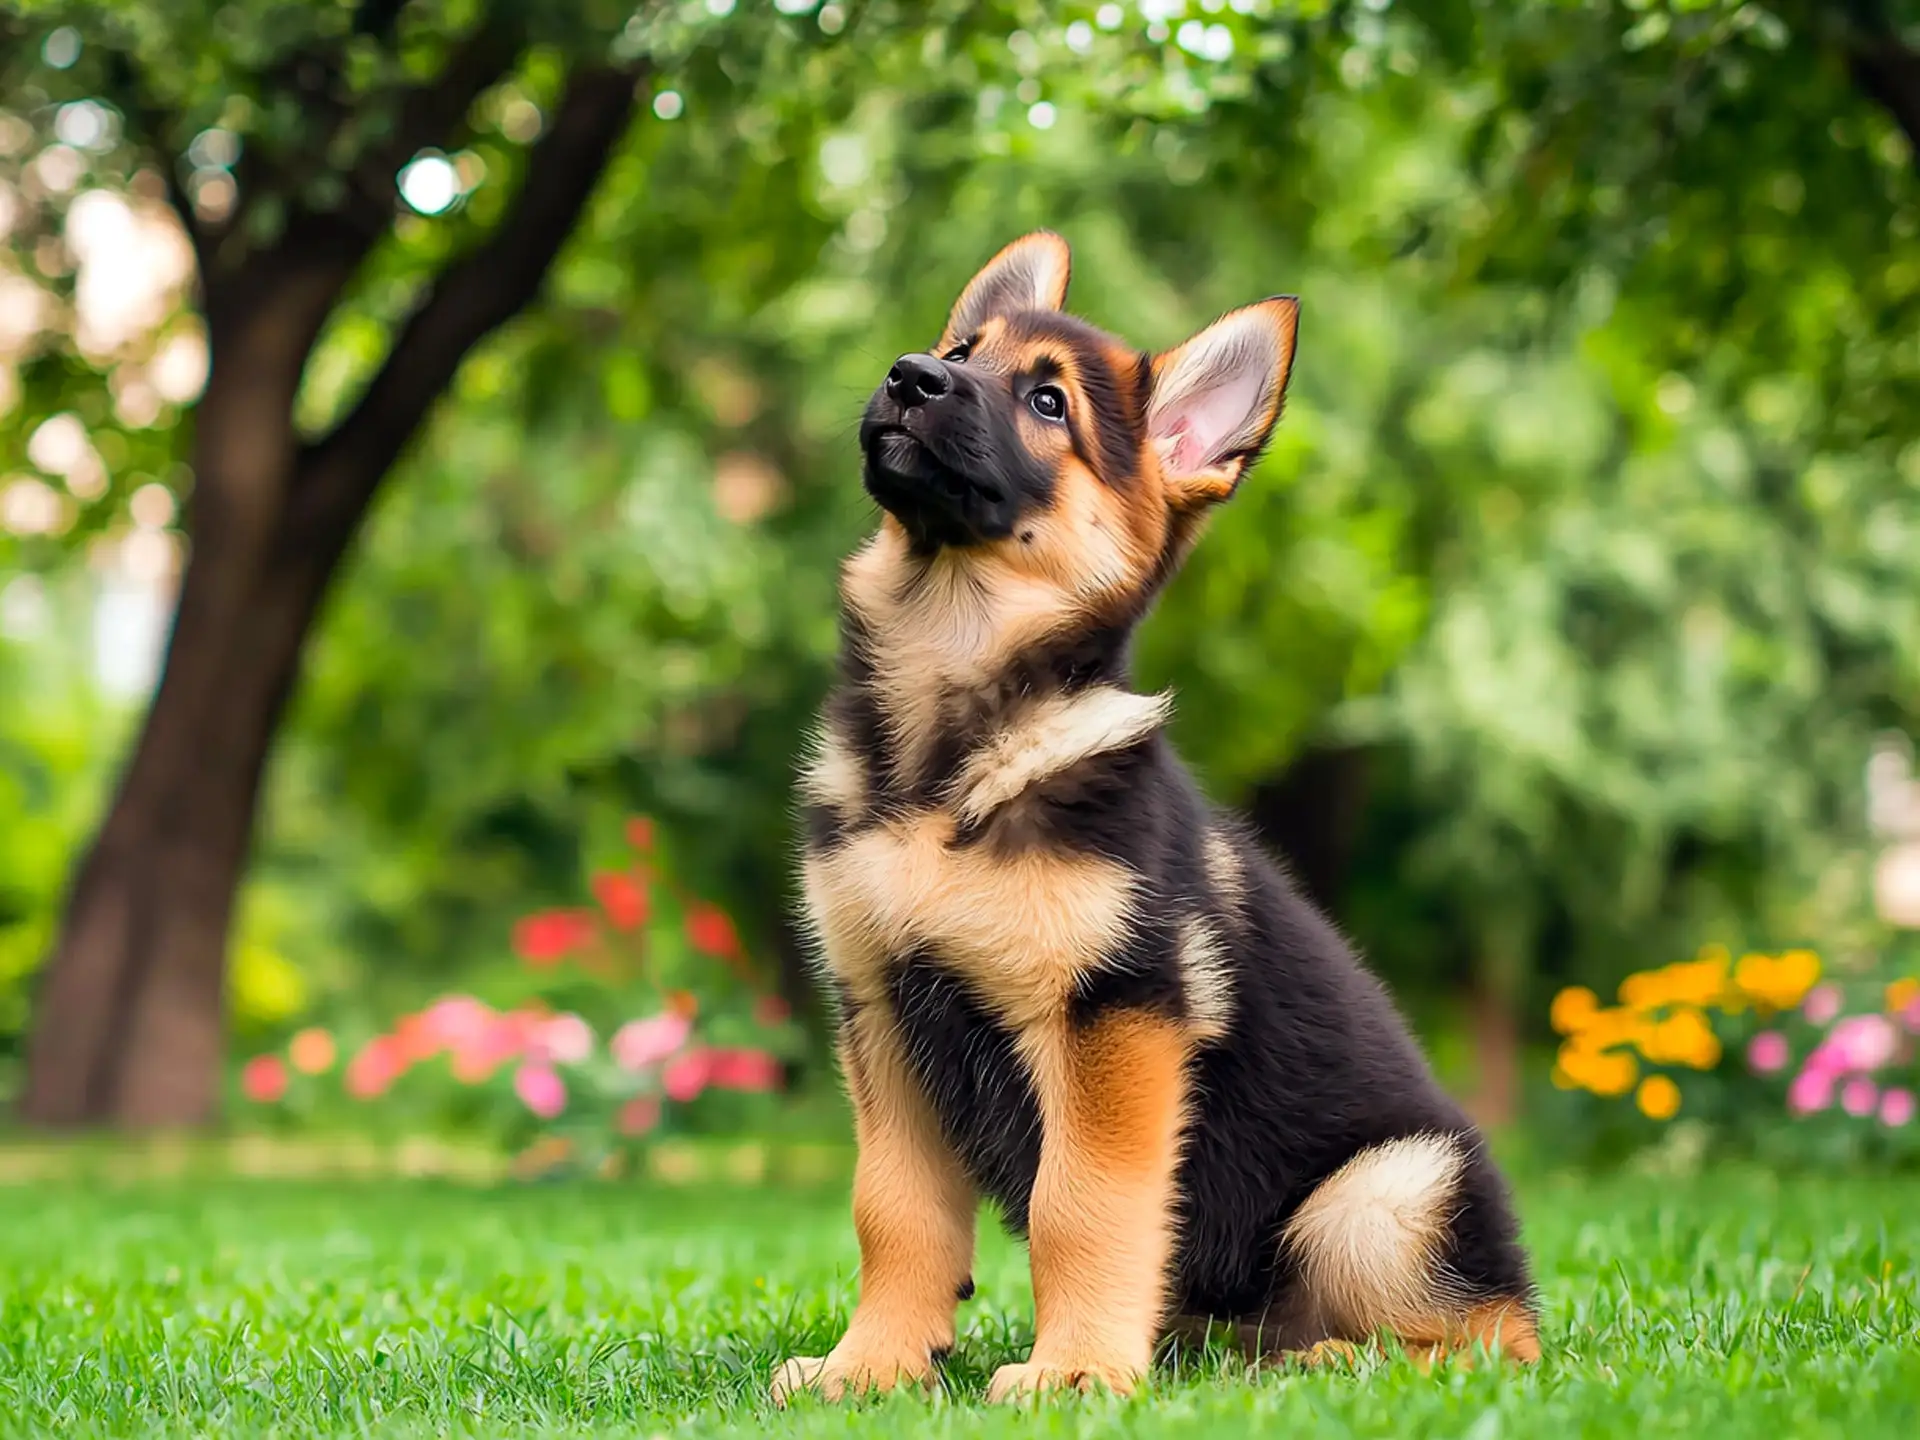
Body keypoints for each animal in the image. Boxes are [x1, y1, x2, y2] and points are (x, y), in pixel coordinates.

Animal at [771, 237, 1536, 1413]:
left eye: (1048, 401)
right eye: (963, 351)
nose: (910, 375)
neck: (951, 749)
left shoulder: (1114, 1015)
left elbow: (1078, 1207)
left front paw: (1075, 1369)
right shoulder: (885, 1015)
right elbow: (893, 1212)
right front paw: (873, 1367)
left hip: (1387, 1189)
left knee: (1499, 1341)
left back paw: (1331, 1360)